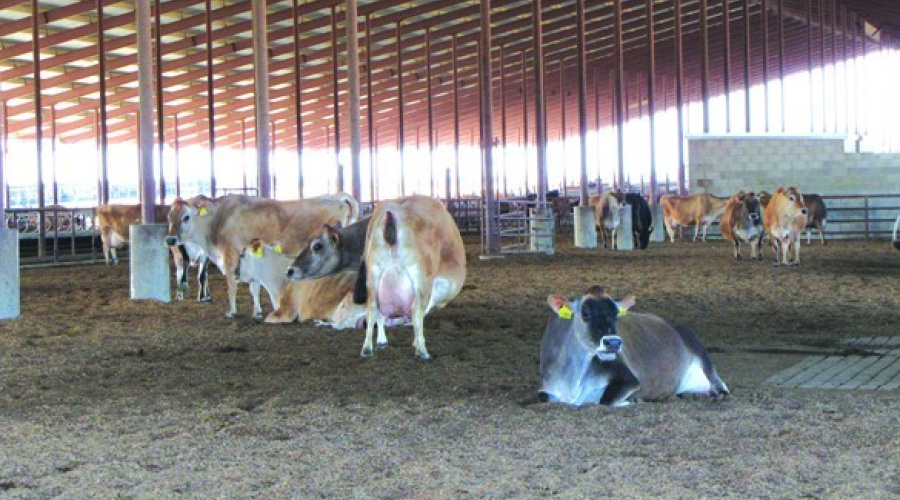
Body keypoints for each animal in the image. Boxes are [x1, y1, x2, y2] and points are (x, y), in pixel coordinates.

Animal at [165, 193, 358, 317]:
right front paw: (257, 311)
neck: (218, 219)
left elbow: (232, 285)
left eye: (186, 217)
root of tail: (338, 199)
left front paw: (231, 311)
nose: (170, 239)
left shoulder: (230, 255)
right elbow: (254, 287)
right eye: (169, 216)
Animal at [354, 195, 467, 360]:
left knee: (372, 308)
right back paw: (423, 352)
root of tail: (392, 211)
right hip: (421, 277)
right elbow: (421, 314)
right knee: (416, 310)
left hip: (374, 274)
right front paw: (416, 344)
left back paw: (369, 348)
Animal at [539, 285, 729, 406]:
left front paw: (632, 401)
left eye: (616, 313)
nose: (613, 342)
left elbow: (604, 401)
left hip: (703, 358)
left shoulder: (628, 378)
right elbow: (544, 397)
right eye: (585, 313)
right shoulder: (545, 387)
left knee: (721, 388)